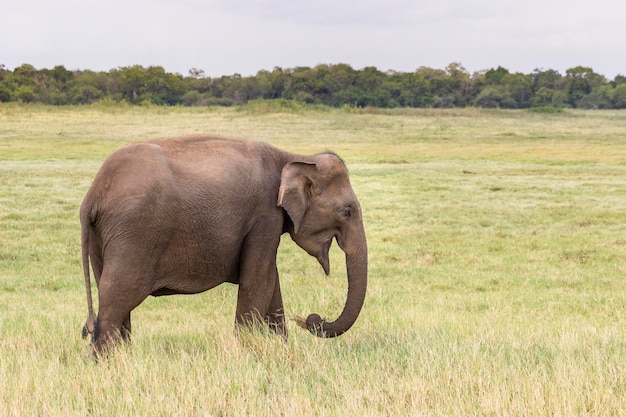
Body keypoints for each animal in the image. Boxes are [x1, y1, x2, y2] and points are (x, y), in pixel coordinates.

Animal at [80, 134, 368, 354]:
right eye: (347, 212)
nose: (311, 318)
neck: (291, 156)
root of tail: (93, 195)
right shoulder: (265, 215)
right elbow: (258, 280)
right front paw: (247, 352)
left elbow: (270, 281)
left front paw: (279, 348)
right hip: (134, 232)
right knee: (118, 293)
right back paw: (105, 364)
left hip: (106, 237)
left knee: (113, 293)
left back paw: (123, 357)